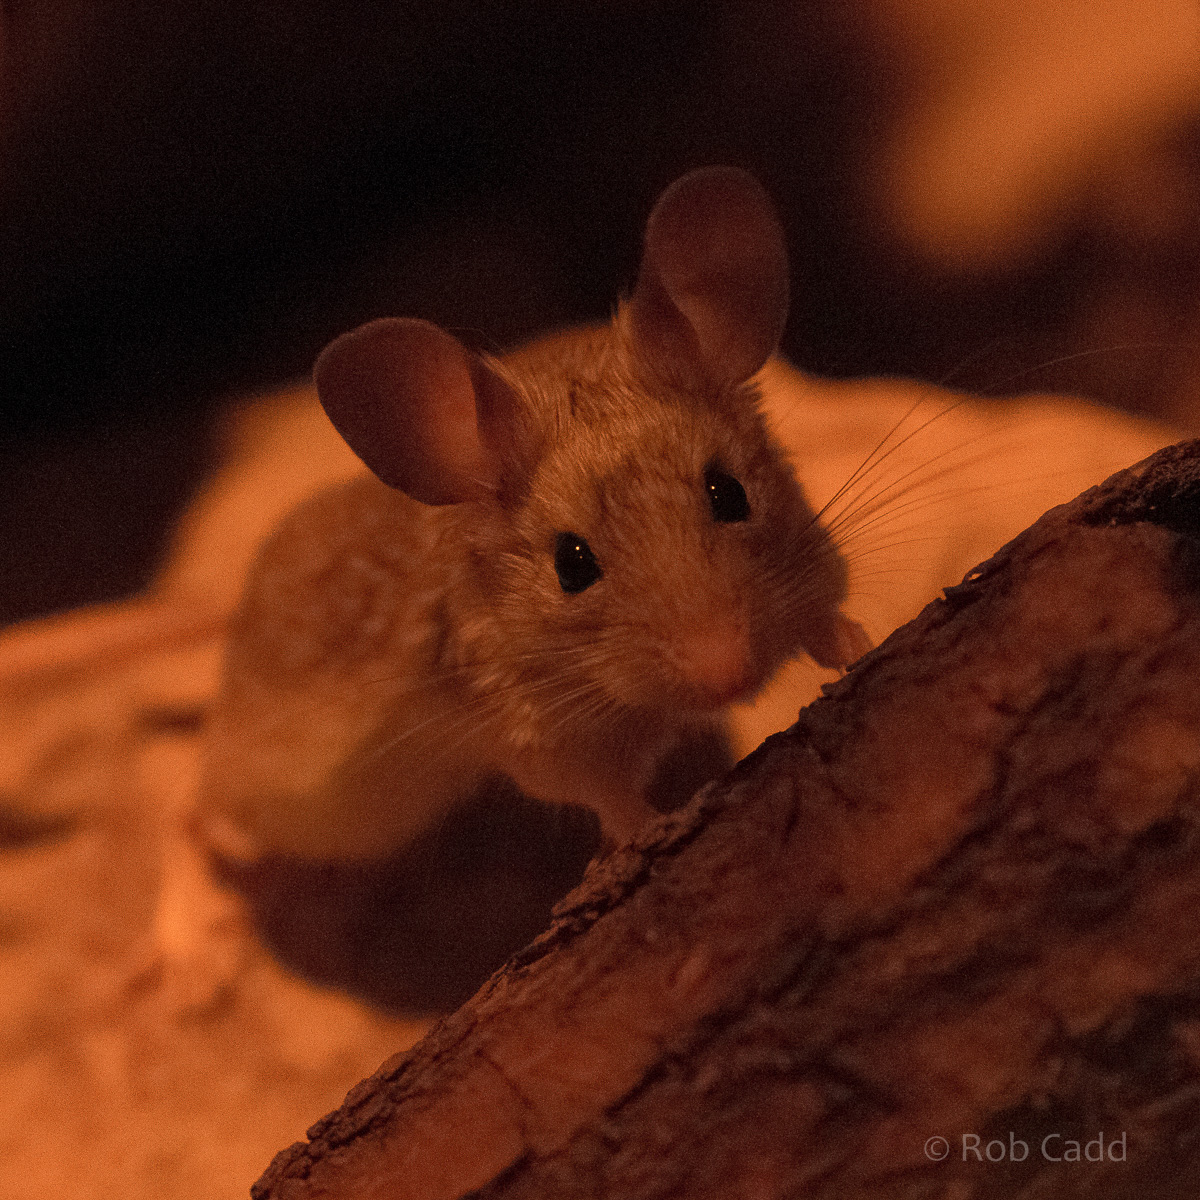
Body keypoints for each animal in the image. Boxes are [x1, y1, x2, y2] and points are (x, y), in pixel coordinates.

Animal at [198, 166, 870, 859]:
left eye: (729, 494)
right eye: (570, 565)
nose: (727, 678)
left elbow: (822, 620)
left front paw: (856, 644)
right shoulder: (544, 744)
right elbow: (611, 800)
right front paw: (645, 832)